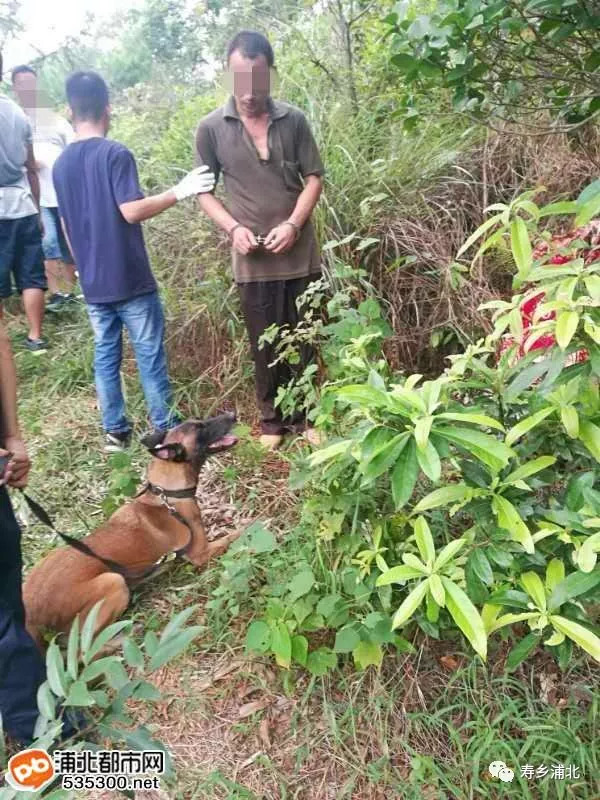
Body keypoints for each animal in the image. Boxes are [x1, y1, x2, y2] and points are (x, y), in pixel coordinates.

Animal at [23, 416, 239, 648]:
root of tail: (31, 614)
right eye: (200, 428)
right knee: (86, 647)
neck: (167, 494)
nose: (232, 414)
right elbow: (236, 533)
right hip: (114, 581)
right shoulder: (200, 553)